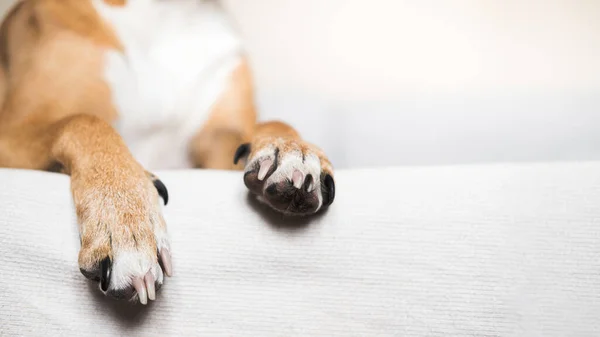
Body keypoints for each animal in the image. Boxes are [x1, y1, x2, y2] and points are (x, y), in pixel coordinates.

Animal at [0, 0, 336, 304]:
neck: (167, 10)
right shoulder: (11, 134)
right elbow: (82, 120)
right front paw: (125, 220)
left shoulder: (213, 147)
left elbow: (270, 122)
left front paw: (293, 149)